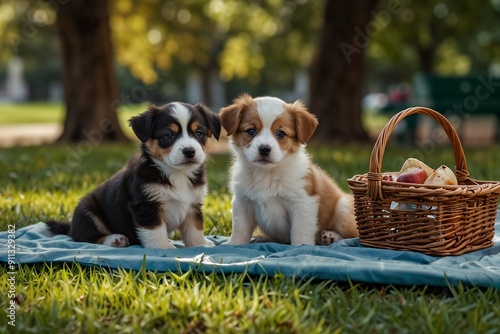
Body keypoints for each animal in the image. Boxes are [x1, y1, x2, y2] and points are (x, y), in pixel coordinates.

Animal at [45, 103, 221, 249]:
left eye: (199, 133)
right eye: (169, 135)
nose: (189, 151)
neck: (177, 175)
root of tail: (71, 226)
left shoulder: (193, 204)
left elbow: (194, 230)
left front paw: (200, 246)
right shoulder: (146, 205)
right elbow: (156, 231)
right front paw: (164, 249)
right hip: (87, 210)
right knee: (85, 237)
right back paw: (115, 240)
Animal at [221, 94, 358, 245]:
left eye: (281, 133)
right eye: (251, 131)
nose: (264, 149)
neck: (267, 174)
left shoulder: (302, 202)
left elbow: (300, 231)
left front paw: (301, 246)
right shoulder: (242, 202)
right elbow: (240, 229)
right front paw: (234, 244)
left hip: (342, 210)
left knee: (354, 236)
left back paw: (331, 236)